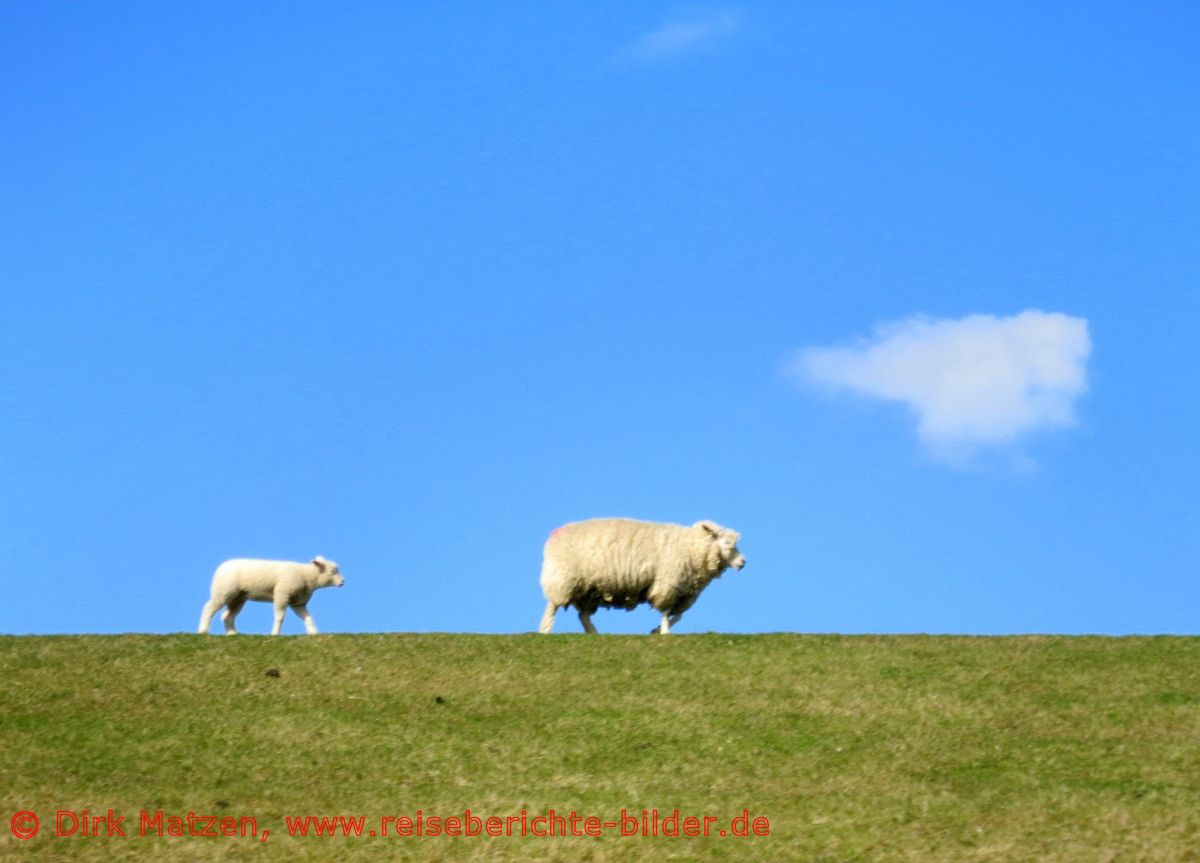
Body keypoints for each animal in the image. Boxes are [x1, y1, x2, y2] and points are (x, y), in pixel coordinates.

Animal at [196, 556, 345, 638]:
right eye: (332, 571)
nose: (343, 582)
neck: (307, 576)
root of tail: (221, 567)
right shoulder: (282, 594)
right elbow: (280, 616)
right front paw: (275, 633)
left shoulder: (297, 602)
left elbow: (308, 617)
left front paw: (313, 632)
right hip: (223, 591)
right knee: (208, 608)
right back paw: (203, 631)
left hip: (238, 597)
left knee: (227, 615)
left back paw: (232, 633)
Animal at [540, 520, 744, 633]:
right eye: (728, 544)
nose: (743, 562)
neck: (691, 547)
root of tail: (554, 535)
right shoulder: (667, 585)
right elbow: (667, 612)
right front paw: (664, 632)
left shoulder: (682, 592)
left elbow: (678, 616)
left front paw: (656, 630)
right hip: (562, 580)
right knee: (552, 607)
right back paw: (544, 630)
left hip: (589, 590)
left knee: (583, 616)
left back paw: (594, 634)